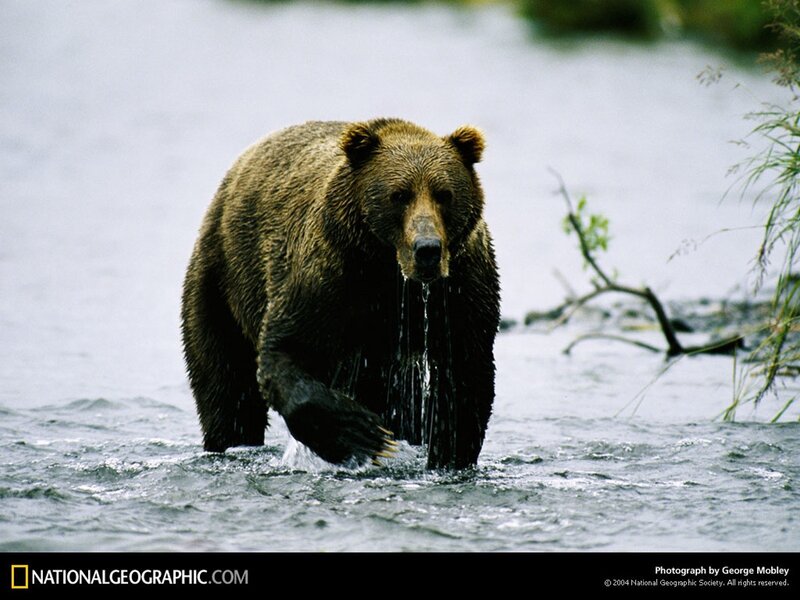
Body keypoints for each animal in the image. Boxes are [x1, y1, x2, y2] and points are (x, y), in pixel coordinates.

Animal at [181, 118, 500, 469]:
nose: (427, 249)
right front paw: (364, 434)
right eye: (399, 194)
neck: (390, 274)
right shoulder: (331, 277)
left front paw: (447, 456)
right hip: (220, 279)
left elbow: (464, 380)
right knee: (226, 386)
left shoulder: (460, 290)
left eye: (444, 194)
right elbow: (286, 349)